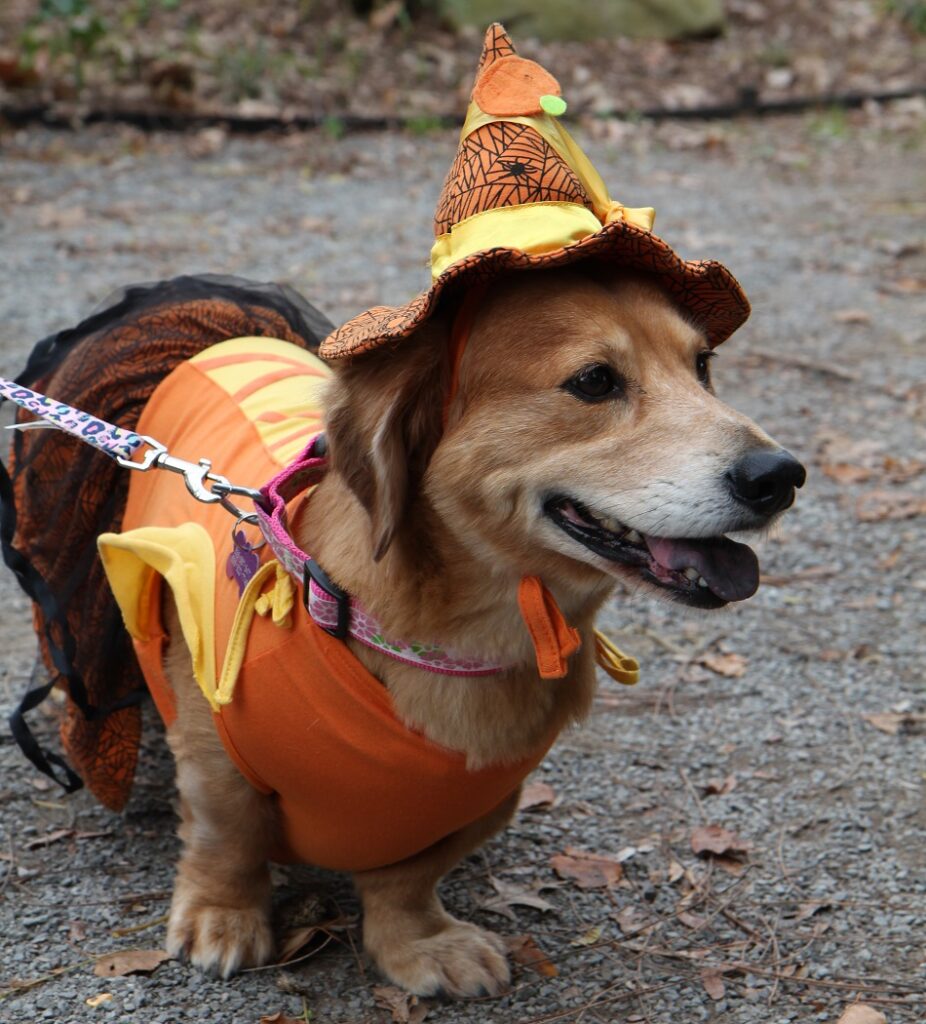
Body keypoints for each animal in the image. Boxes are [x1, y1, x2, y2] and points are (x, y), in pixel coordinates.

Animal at [158, 268, 803, 995]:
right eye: (594, 381)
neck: (453, 643)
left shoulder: (479, 803)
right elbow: (227, 838)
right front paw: (224, 915)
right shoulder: (213, 751)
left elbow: (406, 879)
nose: (780, 476)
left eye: (702, 366)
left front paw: (418, 944)